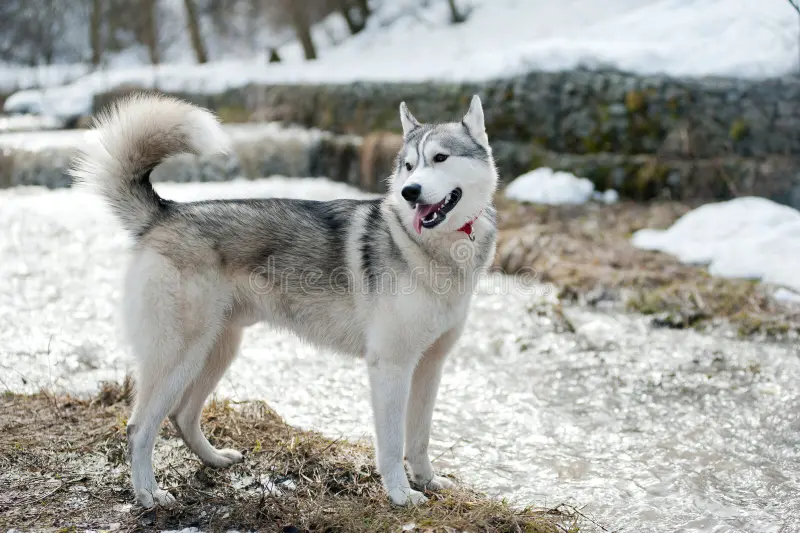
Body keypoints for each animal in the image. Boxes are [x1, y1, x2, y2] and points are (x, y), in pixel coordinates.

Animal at [72, 93, 500, 510]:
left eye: (440, 158)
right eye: (409, 166)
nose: (411, 192)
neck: (432, 250)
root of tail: (165, 213)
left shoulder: (429, 367)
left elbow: (420, 438)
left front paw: (428, 482)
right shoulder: (391, 367)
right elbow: (394, 444)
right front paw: (400, 494)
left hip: (216, 352)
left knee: (182, 415)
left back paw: (214, 460)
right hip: (180, 356)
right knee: (139, 428)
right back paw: (148, 494)